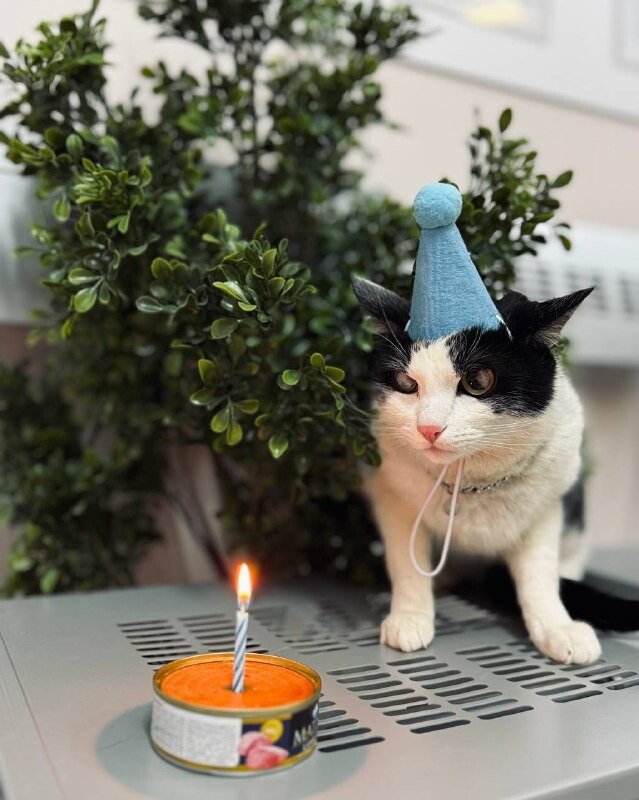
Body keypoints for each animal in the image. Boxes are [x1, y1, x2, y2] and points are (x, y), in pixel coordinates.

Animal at [354, 275, 612, 666]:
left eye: (477, 382)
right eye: (405, 383)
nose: (428, 428)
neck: (473, 481)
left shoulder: (547, 508)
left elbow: (539, 572)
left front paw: (557, 627)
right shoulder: (392, 496)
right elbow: (406, 562)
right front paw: (410, 617)